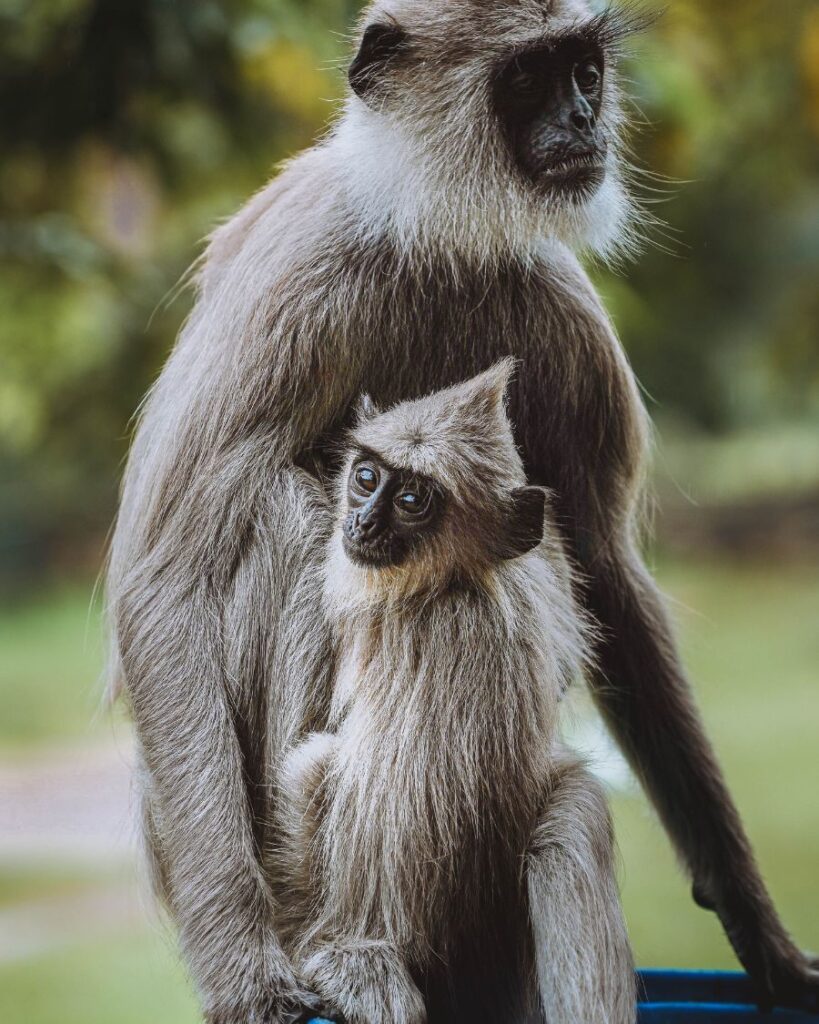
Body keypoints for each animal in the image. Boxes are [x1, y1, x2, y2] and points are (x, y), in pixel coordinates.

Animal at [276, 362, 634, 1024]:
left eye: (412, 501)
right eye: (367, 478)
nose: (363, 523)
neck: (458, 585)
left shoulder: (421, 636)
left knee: (312, 767)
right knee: (573, 808)